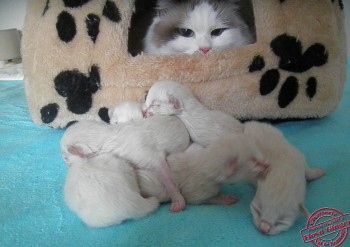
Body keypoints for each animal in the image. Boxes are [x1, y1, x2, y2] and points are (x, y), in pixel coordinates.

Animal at [61, 116, 190, 212]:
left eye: (65, 157)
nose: (66, 165)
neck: (105, 137)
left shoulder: (147, 157)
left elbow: (166, 176)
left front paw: (178, 201)